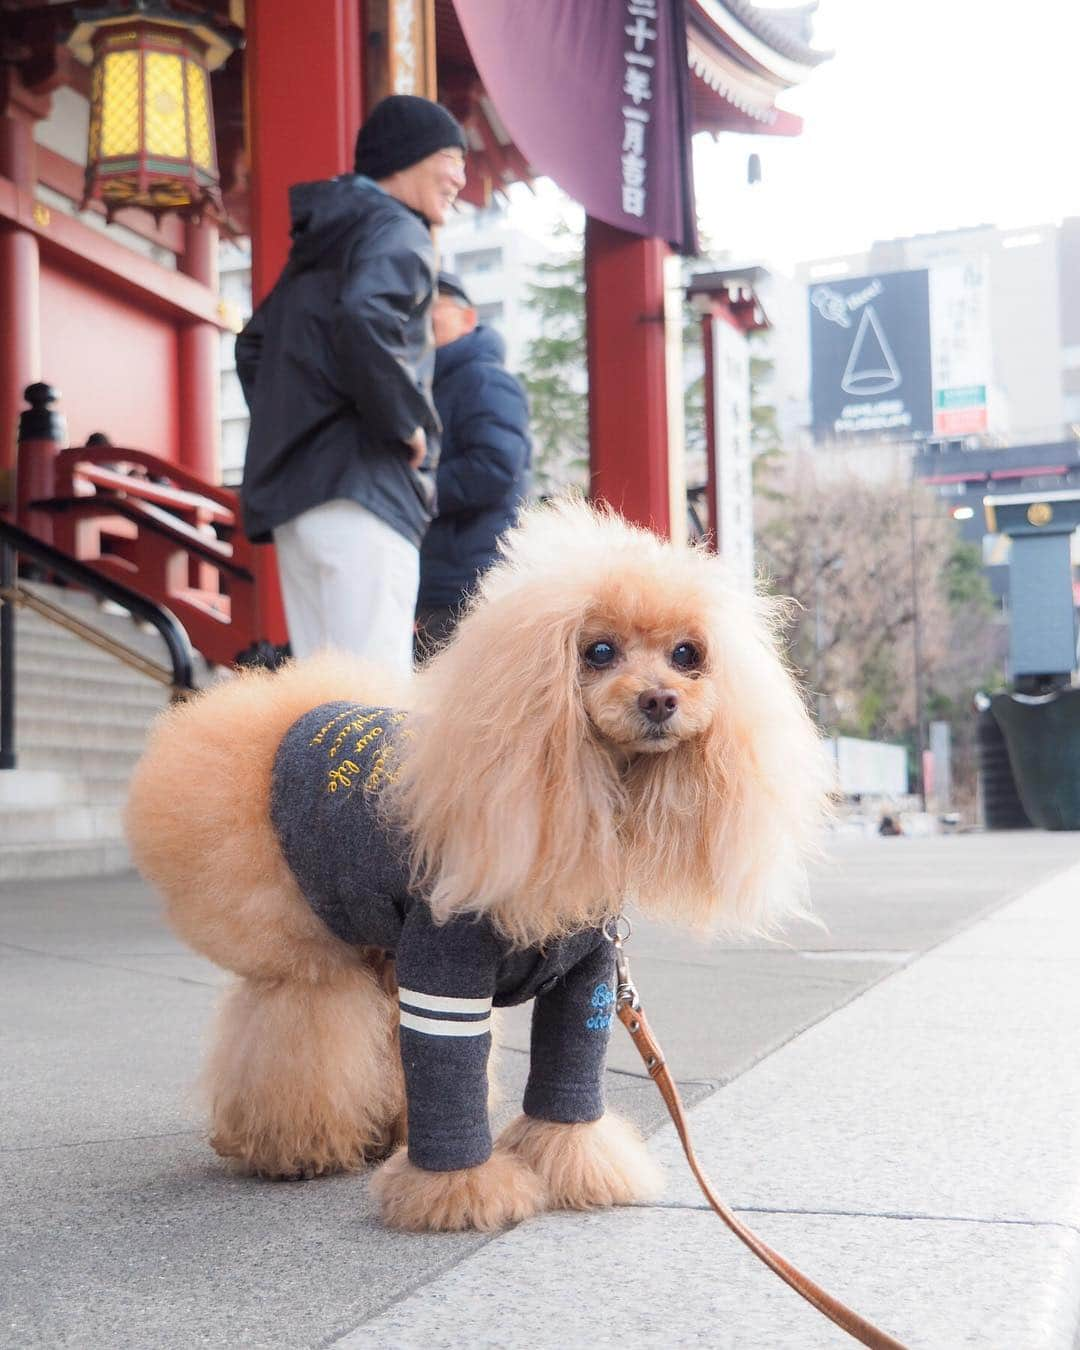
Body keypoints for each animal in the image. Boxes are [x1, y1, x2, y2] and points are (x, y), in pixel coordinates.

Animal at [128, 499, 837, 1236]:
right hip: (309, 948)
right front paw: (461, 1192)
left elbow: (567, 1082)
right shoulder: (447, 976)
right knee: (297, 1039)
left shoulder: (585, 984)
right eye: (598, 651)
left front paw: (577, 1165)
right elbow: (448, 1074)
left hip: (381, 947)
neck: (576, 794)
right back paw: (293, 1147)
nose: (661, 700)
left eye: (687, 655)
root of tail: (289, 708)